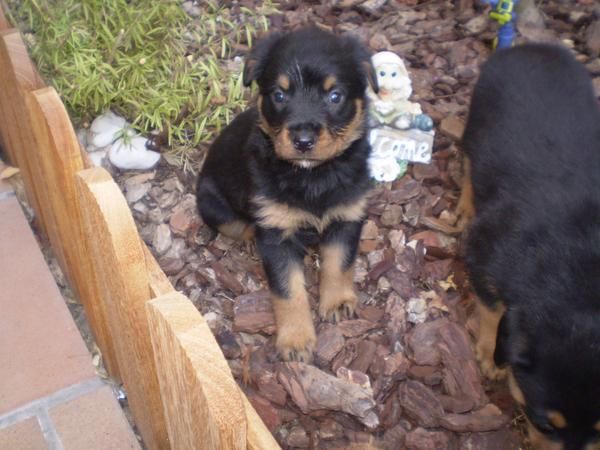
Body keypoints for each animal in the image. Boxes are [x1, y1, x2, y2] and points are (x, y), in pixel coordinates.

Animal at [197, 28, 378, 362]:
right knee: (236, 225)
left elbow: (339, 263)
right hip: (211, 203)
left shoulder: (347, 215)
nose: (303, 140)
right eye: (279, 95)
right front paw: (295, 340)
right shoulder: (277, 233)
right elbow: (288, 290)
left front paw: (336, 302)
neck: (312, 176)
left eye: (335, 96)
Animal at [460, 43, 600, 450]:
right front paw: (489, 355)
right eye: (545, 424)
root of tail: (527, 46)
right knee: (468, 166)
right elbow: (491, 310)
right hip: (476, 124)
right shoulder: (482, 255)